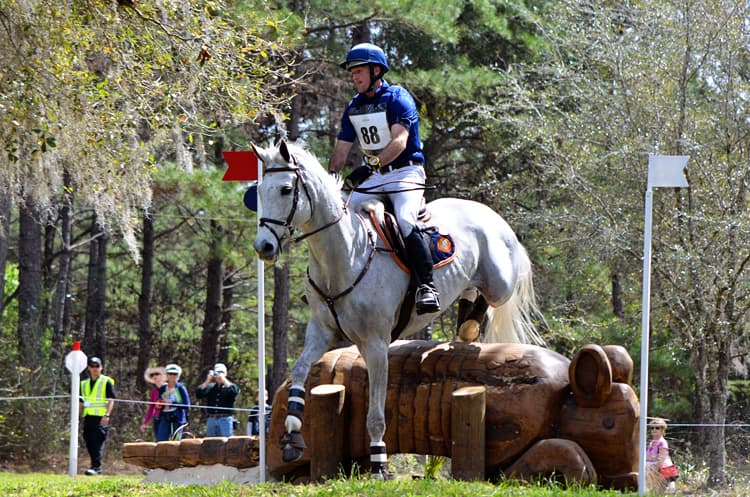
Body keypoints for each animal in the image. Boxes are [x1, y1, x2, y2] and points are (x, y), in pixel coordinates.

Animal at [251, 140, 543, 477]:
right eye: (260, 191)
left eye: (286, 189)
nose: (263, 247)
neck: (344, 254)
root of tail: (490, 215)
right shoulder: (322, 332)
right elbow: (299, 372)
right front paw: (292, 436)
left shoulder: (376, 344)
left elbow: (376, 412)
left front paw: (379, 462)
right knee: (471, 292)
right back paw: (466, 325)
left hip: (500, 281)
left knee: (495, 295)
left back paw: (468, 323)